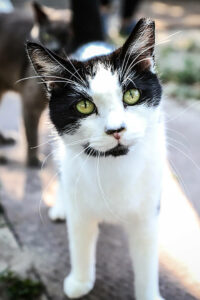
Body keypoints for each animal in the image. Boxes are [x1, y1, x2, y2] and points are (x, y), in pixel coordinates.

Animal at [27, 18, 165, 300]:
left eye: (132, 95)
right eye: (84, 106)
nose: (116, 129)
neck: (114, 165)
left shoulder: (148, 213)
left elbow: (146, 258)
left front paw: (148, 294)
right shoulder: (81, 208)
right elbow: (80, 241)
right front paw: (80, 281)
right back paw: (61, 207)